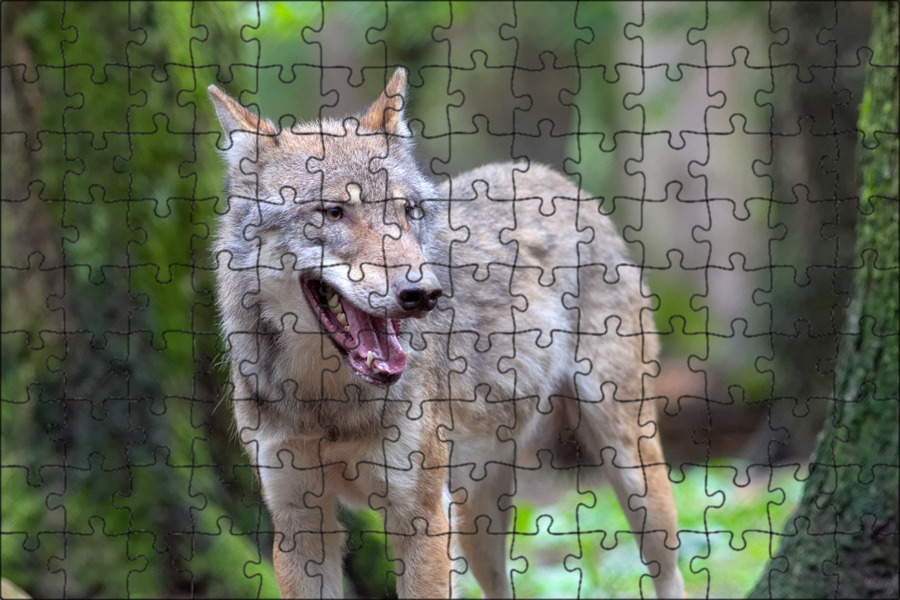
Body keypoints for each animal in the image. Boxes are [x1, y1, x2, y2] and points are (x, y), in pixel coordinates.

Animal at [208, 68, 684, 598]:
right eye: (333, 212)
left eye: (408, 211)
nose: (424, 293)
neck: (327, 405)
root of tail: (550, 176)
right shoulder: (299, 525)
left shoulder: (422, 518)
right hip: (478, 521)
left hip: (633, 474)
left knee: (673, 574)